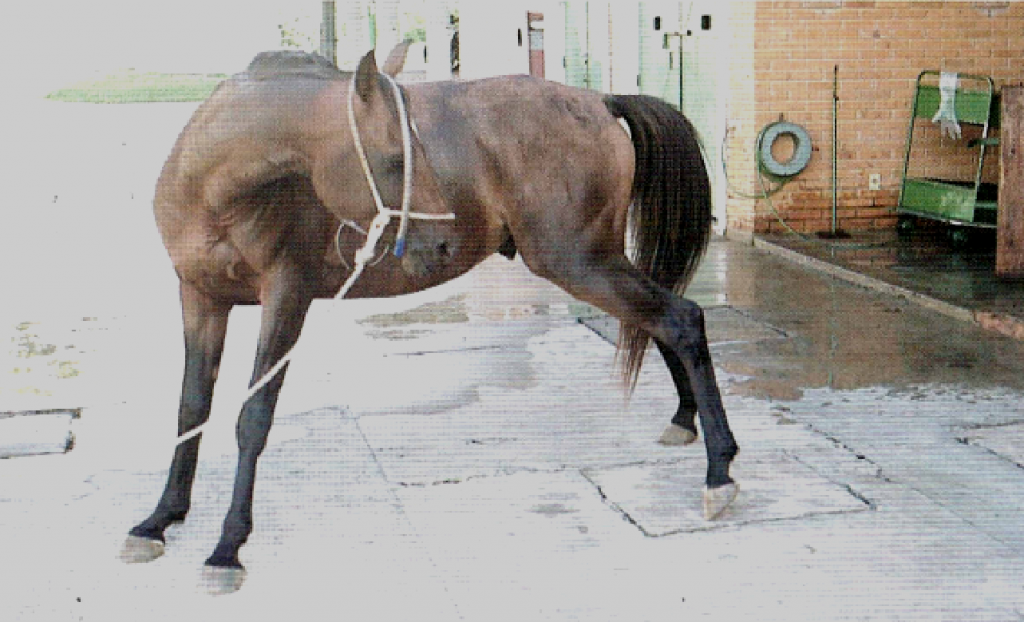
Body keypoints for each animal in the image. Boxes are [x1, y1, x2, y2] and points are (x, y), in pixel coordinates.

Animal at [121, 47, 737, 594]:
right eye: (397, 158)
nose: (442, 242)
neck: (217, 189)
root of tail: (599, 101)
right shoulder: (199, 298)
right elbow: (190, 407)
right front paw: (160, 518)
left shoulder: (286, 298)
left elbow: (252, 419)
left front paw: (227, 547)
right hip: (595, 263)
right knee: (661, 321)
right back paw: (687, 421)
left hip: (580, 262)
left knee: (681, 320)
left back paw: (720, 470)